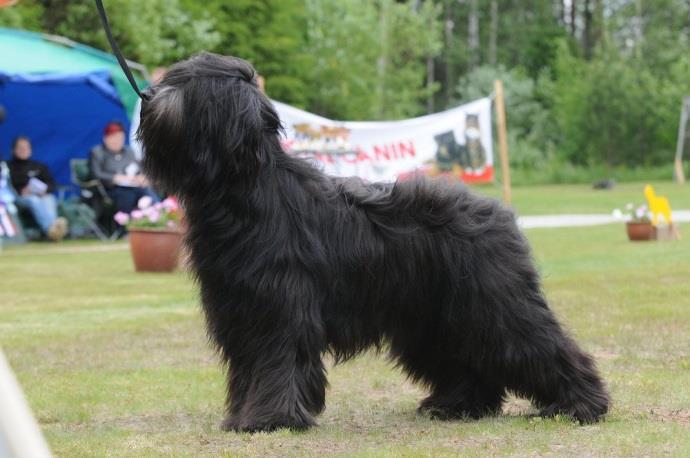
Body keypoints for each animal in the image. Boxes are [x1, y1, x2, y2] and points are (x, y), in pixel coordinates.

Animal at [136, 53, 608, 432]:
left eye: (185, 84)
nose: (149, 94)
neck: (246, 191)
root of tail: (499, 213)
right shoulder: (239, 311)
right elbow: (248, 370)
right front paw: (240, 417)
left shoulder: (280, 309)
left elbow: (278, 362)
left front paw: (271, 419)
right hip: (434, 318)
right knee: (467, 361)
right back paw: (459, 405)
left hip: (496, 302)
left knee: (541, 344)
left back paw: (582, 405)